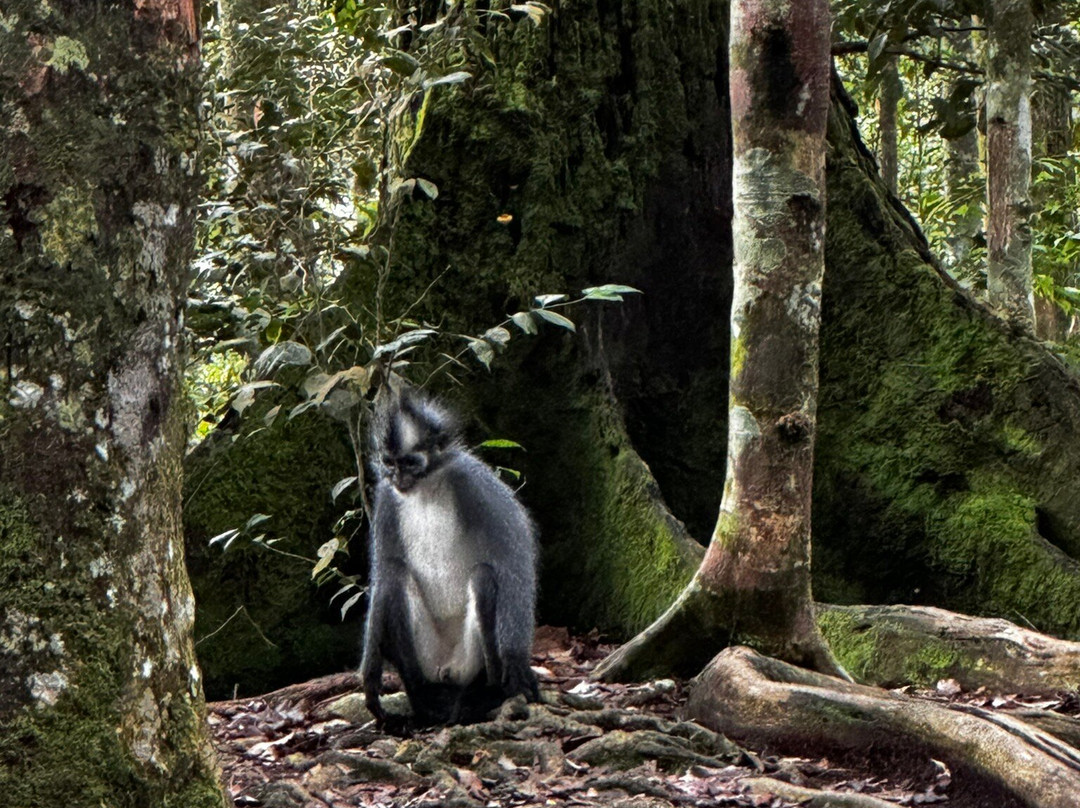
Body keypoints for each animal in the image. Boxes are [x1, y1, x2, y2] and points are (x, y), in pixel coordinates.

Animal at [360, 388, 540, 728]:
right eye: (389, 463)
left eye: (409, 463)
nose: (397, 477)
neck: (426, 486)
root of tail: (445, 668)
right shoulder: (387, 497)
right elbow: (382, 570)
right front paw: (370, 674)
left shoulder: (472, 481)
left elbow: (514, 559)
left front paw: (516, 661)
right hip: (424, 660)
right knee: (393, 575)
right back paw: (425, 701)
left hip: (467, 662)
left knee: (483, 576)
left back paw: (483, 696)